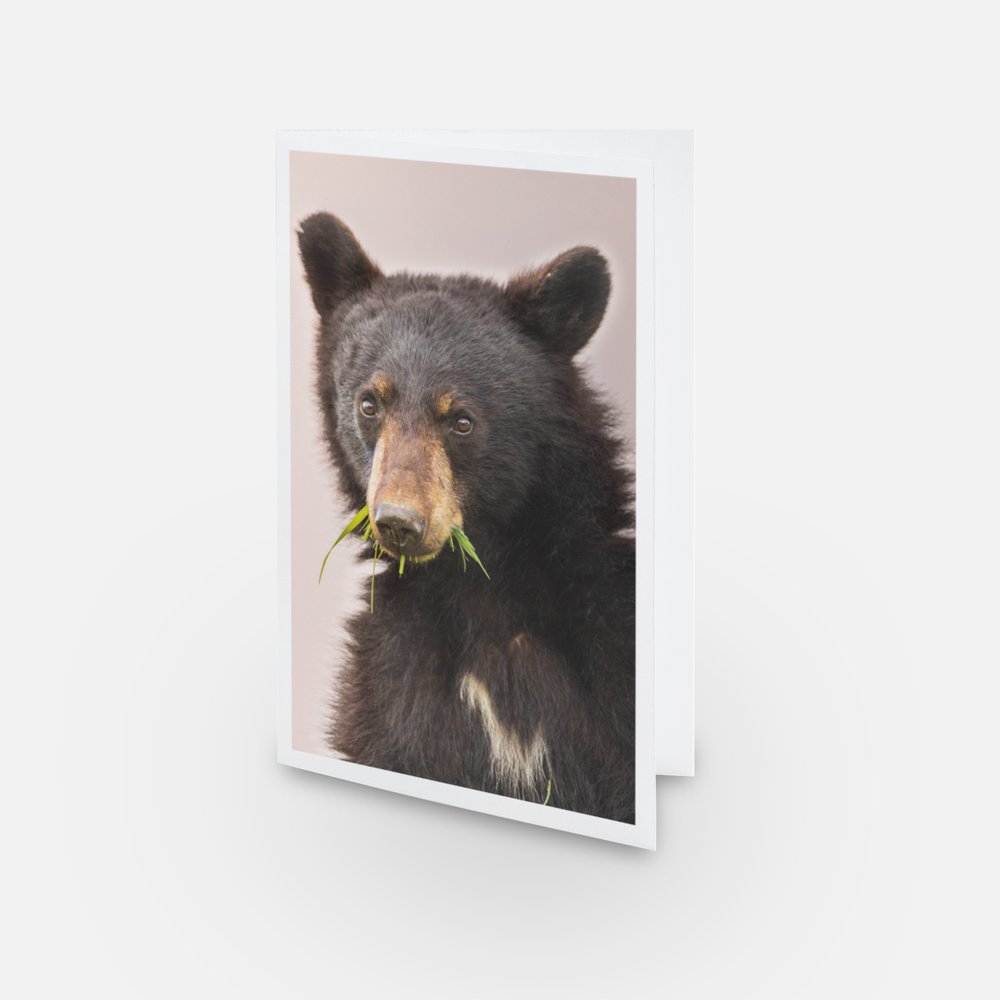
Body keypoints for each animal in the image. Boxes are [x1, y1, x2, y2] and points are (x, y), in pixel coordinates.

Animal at [298, 212, 636, 824]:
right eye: (369, 404)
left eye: (462, 421)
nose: (399, 521)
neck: (487, 588)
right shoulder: (394, 683)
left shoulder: (613, 663)